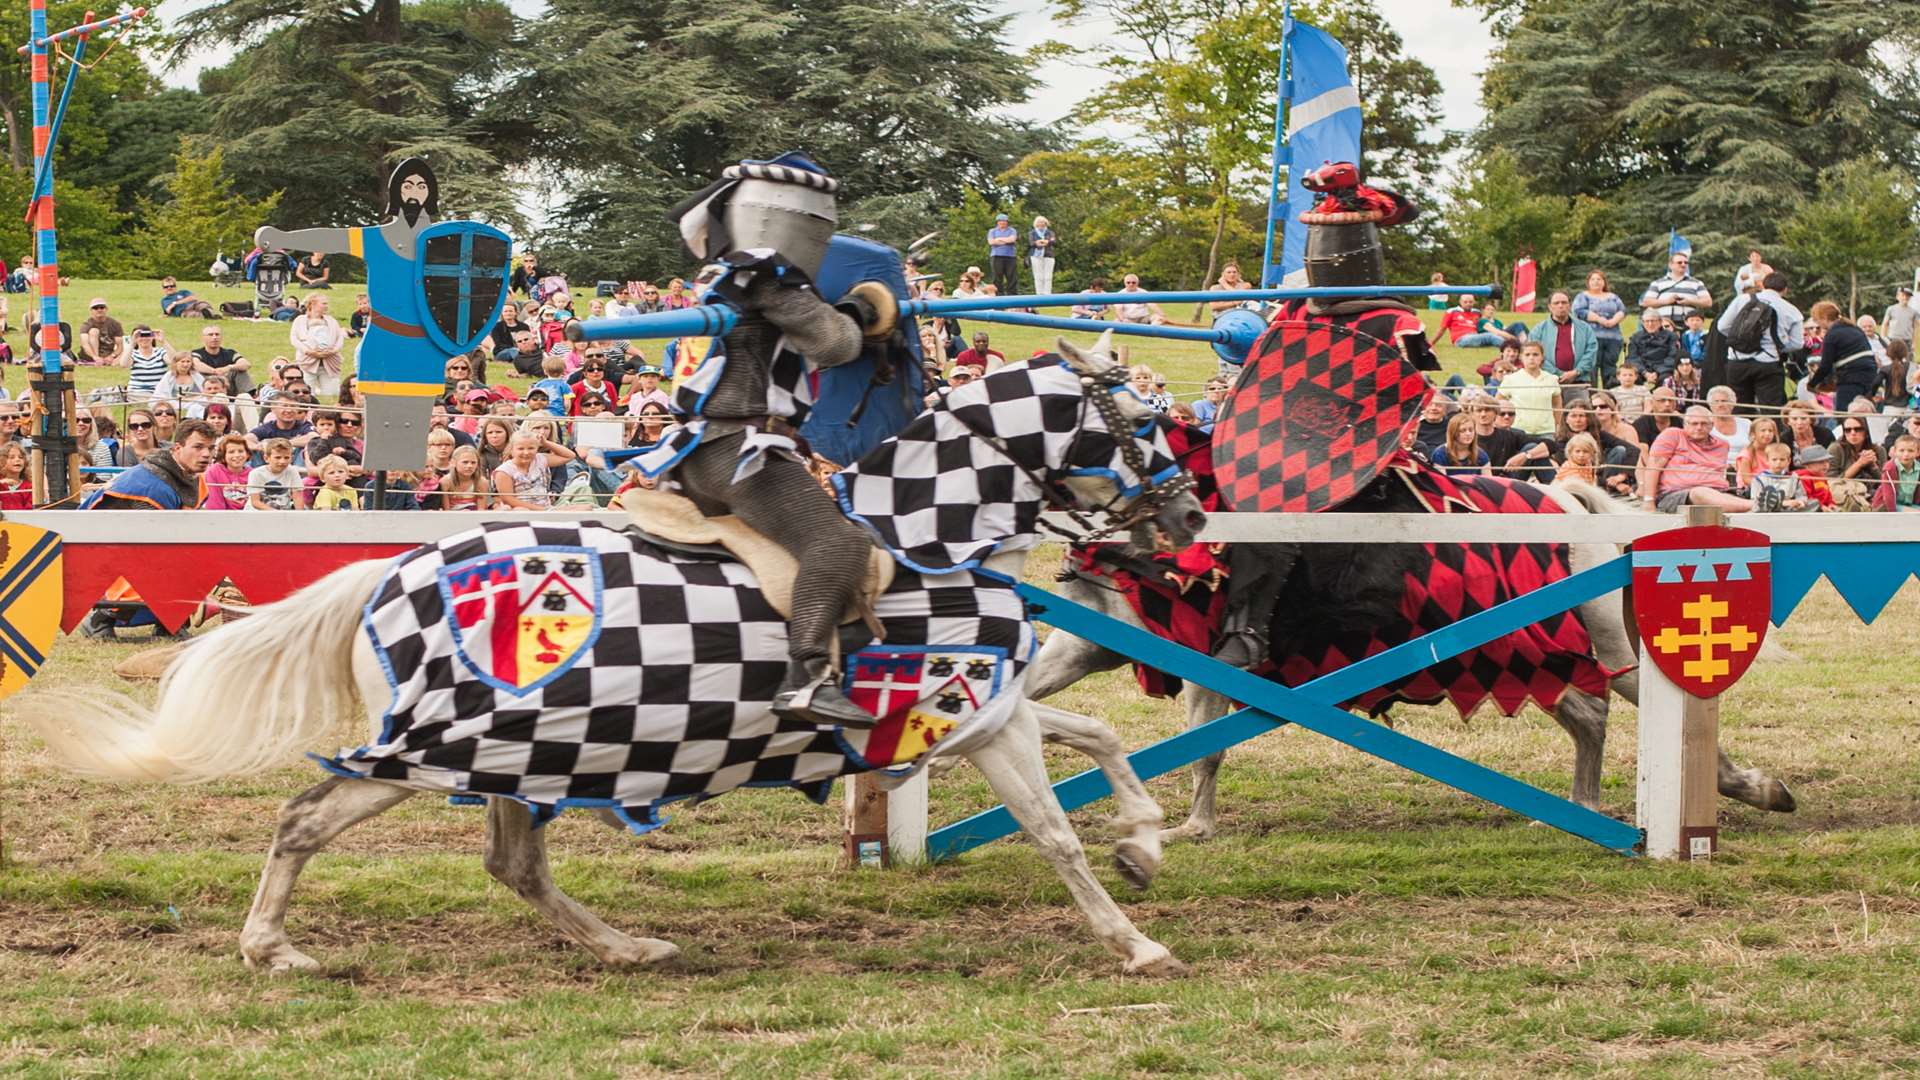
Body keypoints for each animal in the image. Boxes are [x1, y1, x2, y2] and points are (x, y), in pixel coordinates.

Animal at [26, 336, 1198, 976]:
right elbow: (1053, 828)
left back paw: (624, 948)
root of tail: (386, 577)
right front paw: (1136, 939)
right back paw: (272, 947)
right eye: (1142, 424)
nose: (1184, 518)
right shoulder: (975, 713)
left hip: (515, 759)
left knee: (511, 864)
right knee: (306, 821)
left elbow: (1099, 739)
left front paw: (1145, 842)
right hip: (432, 754)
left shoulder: (978, 707)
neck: (929, 531)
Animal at [1029, 474, 1789, 837]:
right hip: (1522, 652)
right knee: (1586, 714)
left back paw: (1743, 787)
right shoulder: (1079, 646)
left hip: (1590, 639)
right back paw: (1589, 802)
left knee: (1629, 696)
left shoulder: (1202, 659)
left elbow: (1204, 748)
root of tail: (1565, 494)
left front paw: (1197, 826)